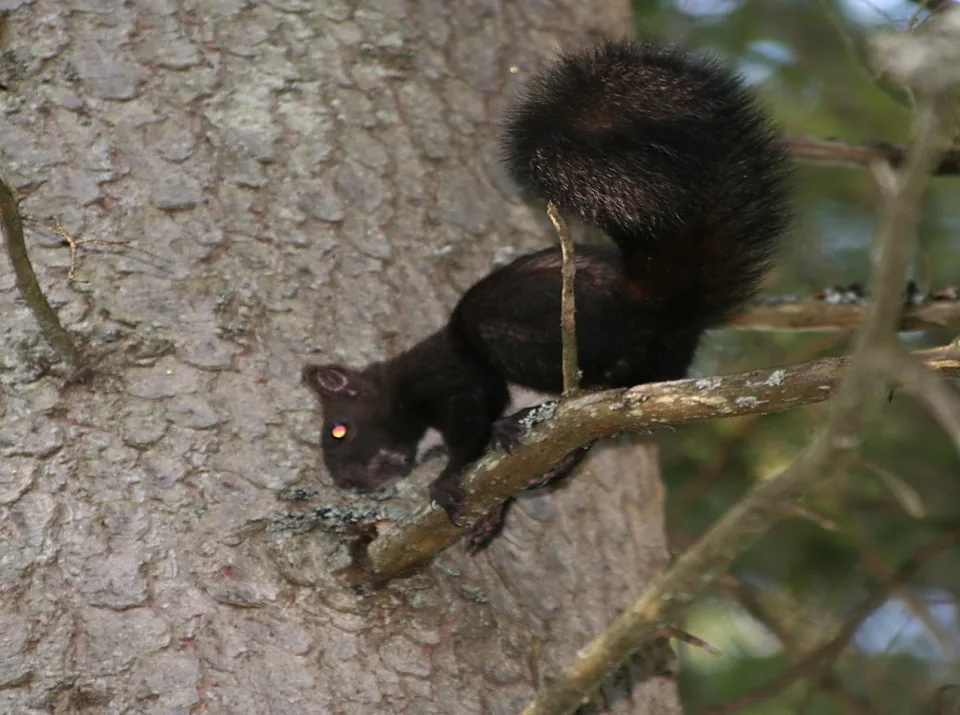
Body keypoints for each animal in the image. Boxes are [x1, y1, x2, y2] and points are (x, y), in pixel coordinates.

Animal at [303, 38, 792, 548]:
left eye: (338, 430)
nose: (347, 482)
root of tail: (658, 305)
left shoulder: (452, 379)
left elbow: (470, 430)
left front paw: (449, 479)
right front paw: (490, 518)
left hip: (536, 331)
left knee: (584, 385)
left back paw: (525, 419)